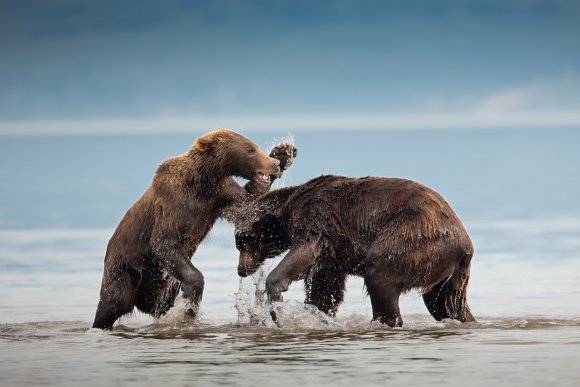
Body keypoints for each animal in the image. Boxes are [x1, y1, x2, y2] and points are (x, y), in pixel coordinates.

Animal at [93, 129, 296, 328]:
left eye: (256, 147)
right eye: (250, 150)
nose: (274, 164)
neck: (201, 182)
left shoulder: (220, 194)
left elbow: (248, 203)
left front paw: (283, 152)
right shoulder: (173, 203)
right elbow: (164, 243)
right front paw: (191, 296)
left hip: (158, 287)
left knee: (160, 303)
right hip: (124, 273)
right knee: (111, 305)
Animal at [234, 175, 476, 328]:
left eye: (244, 240)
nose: (241, 269)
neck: (286, 210)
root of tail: (464, 244)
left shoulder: (318, 220)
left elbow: (306, 251)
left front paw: (275, 297)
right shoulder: (334, 255)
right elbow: (325, 287)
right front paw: (317, 312)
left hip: (411, 237)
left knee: (380, 276)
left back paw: (383, 320)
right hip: (446, 270)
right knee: (446, 304)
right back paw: (464, 318)